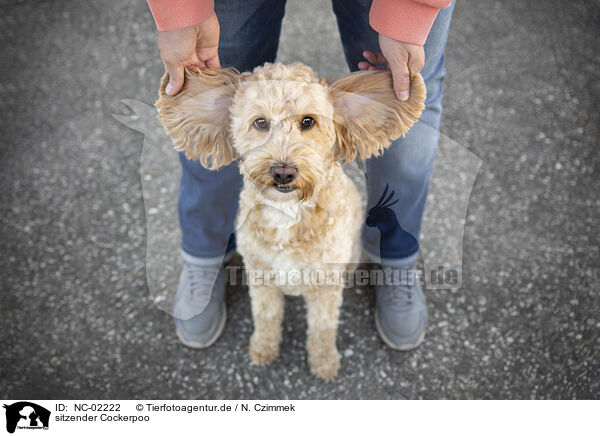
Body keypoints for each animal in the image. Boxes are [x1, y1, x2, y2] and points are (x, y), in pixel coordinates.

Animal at [157, 61, 424, 378]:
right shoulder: (261, 279)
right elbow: (266, 318)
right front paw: (263, 349)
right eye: (261, 123)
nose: (283, 172)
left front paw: (324, 362)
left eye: (308, 121)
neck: (287, 213)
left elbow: (322, 328)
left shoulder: (325, 287)